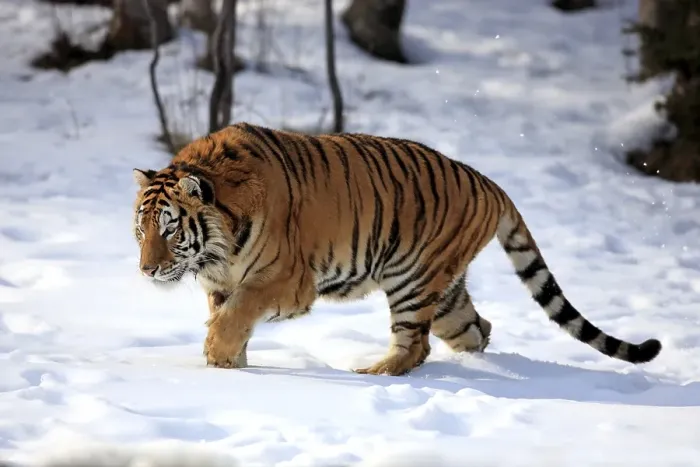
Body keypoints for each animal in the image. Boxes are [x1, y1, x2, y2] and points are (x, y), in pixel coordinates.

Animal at [131, 122, 662, 376]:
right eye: (141, 231)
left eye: (171, 229)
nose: (146, 271)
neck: (214, 250)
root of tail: (488, 181)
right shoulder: (223, 283)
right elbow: (229, 316)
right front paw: (231, 366)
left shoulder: (285, 281)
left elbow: (237, 314)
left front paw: (218, 356)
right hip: (445, 293)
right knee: (477, 328)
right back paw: (475, 368)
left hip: (413, 279)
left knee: (416, 343)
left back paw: (375, 372)